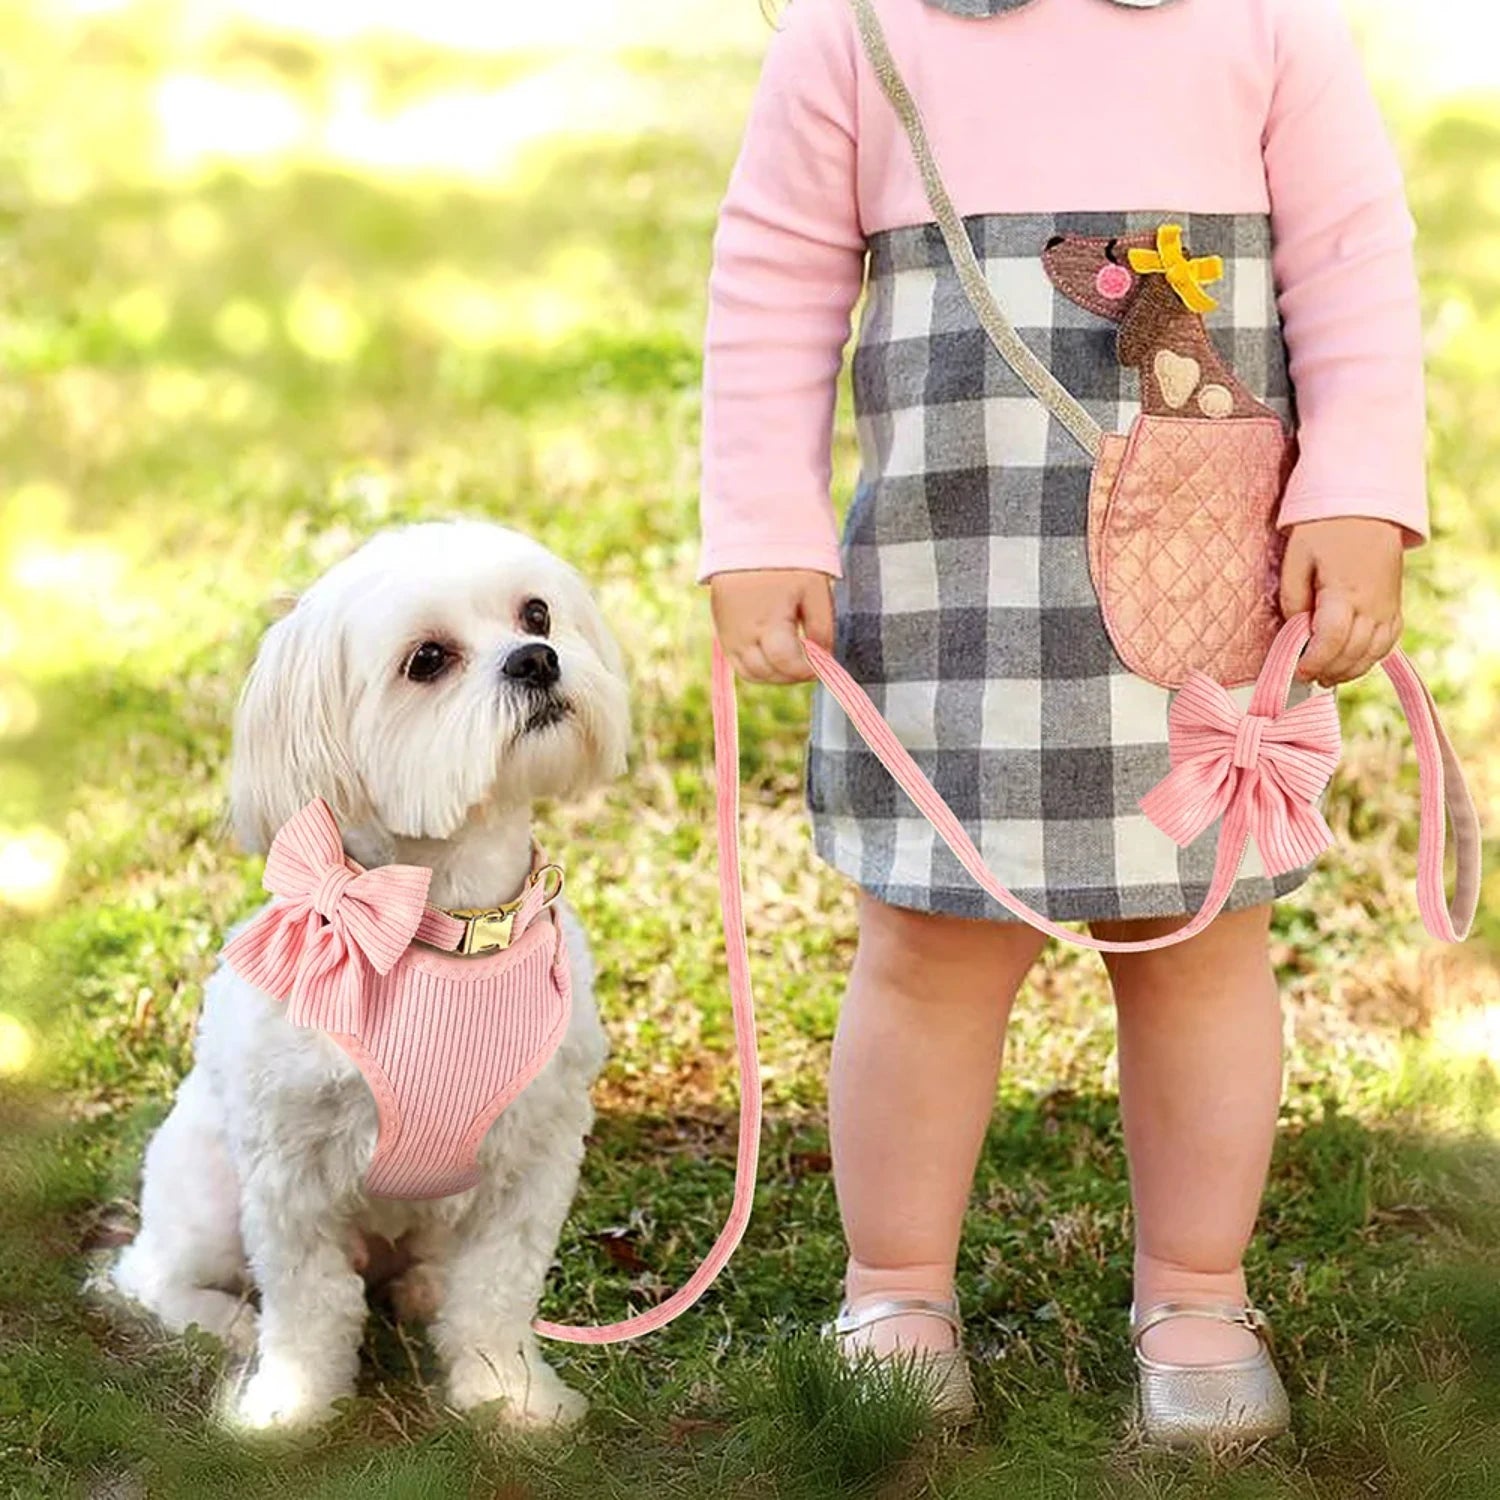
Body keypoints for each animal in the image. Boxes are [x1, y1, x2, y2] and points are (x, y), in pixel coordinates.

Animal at [112, 522, 627, 1434]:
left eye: (537, 613)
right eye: (427, 659)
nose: (537, 659)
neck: (449, 925)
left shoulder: (532, 1156)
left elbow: (497, 1292)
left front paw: (510, 1394)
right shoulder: (291, 1175)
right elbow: (308, 1305)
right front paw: (289, 1407)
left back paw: (423, 1292)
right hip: (208, 1192)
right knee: (150, 1272)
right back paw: (218, 1320)